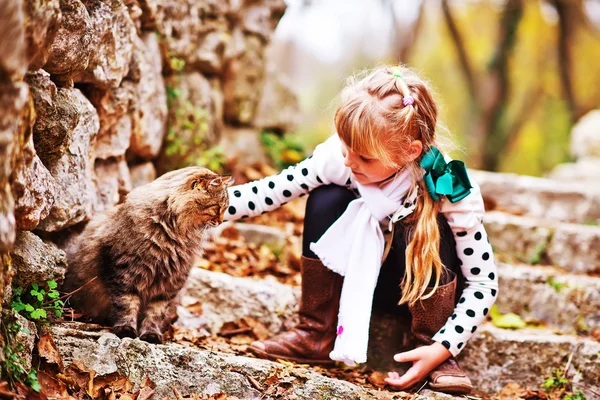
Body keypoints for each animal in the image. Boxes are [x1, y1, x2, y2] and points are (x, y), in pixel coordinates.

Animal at [63, 166, 232, 344]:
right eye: (217, 207)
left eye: (225, 208)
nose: (221, 222)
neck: (172, 232)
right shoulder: (124, 272)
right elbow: (126, 305)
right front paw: (126, 330)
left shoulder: (169, 283)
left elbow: (156, 313)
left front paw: (151, 335)